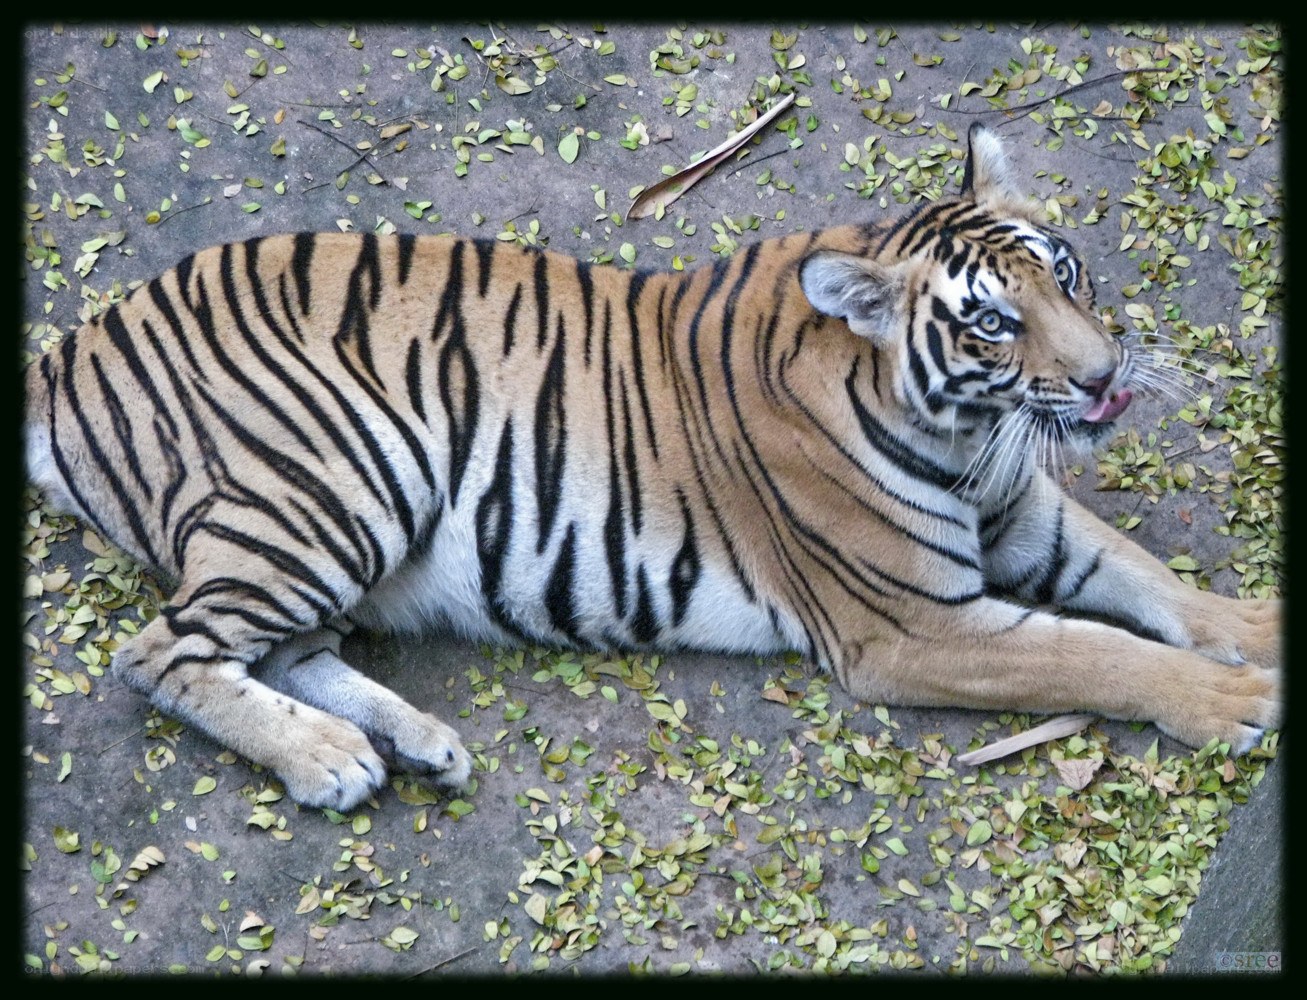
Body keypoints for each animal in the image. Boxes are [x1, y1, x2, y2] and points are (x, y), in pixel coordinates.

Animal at [23, 125, 1281, 811]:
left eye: (1062, 273)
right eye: (989, 324)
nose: (1106, 379)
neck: (968, 435)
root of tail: (74, 342)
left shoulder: (1019, 512)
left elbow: (1145, 581)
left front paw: (1253, 627)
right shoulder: (914, 626)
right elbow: (1093, 652)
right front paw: (1231, 701)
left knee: (278, 645)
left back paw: (414, 743)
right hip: (335, 483)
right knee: (163, 653)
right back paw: (327, 759)